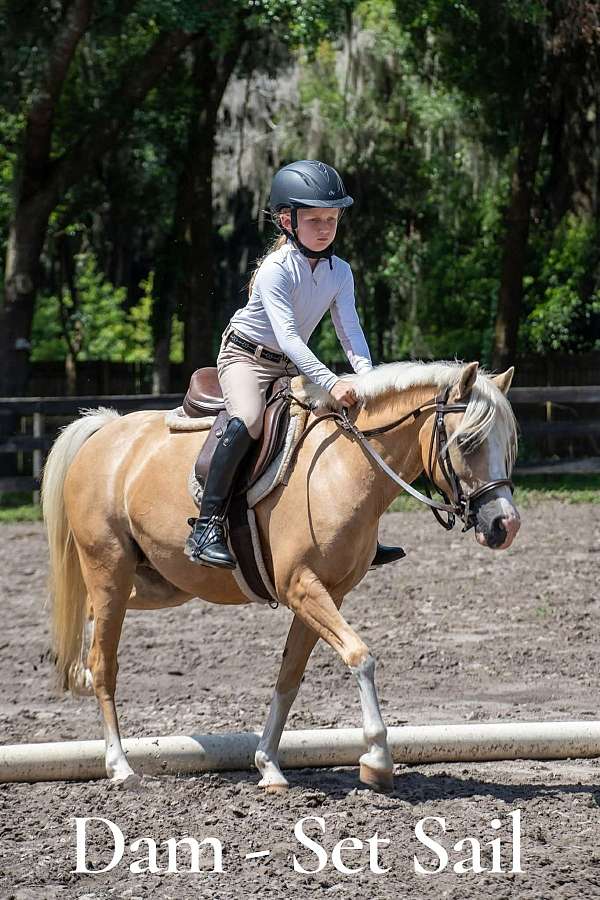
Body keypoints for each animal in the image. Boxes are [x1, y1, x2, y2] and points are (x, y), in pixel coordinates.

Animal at [42, 360, 520, 793]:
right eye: (466, 442)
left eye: (507, 445)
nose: (505, 525)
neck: (345, 465)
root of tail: (106, 432)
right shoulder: (301, 588)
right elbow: (360, 656)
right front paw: (377, 760)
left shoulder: (328, 594)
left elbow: (290, 676)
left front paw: (268, 765)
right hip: (110, 569)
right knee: (104, 661)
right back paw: (119, 766)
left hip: (157, 584)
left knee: (91, 617)